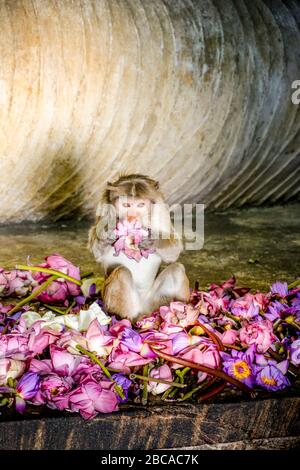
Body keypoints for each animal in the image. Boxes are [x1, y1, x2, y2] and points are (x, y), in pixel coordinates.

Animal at [86, 173, 190, 324]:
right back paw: (128, 321)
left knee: (177, 269)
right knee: (122, 272)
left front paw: (153, 240)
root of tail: (143, 311)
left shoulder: (160, 210)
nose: (132, 217)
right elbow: (97, 252)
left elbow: (173, 250)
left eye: (140, 205)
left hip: (153, 303)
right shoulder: (105, 211)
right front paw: (107, 234)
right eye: (126, 205)